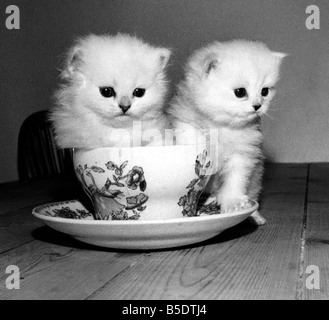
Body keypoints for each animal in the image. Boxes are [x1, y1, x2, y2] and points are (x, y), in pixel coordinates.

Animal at [168, 40, 286, 225]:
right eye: (240, 92)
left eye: (265, 91)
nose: (258, 105)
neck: (222, 126)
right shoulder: (183, 122)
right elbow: (192, 137)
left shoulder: (242, 155)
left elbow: (235, 181)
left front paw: (233, 203)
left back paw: (254, 216)